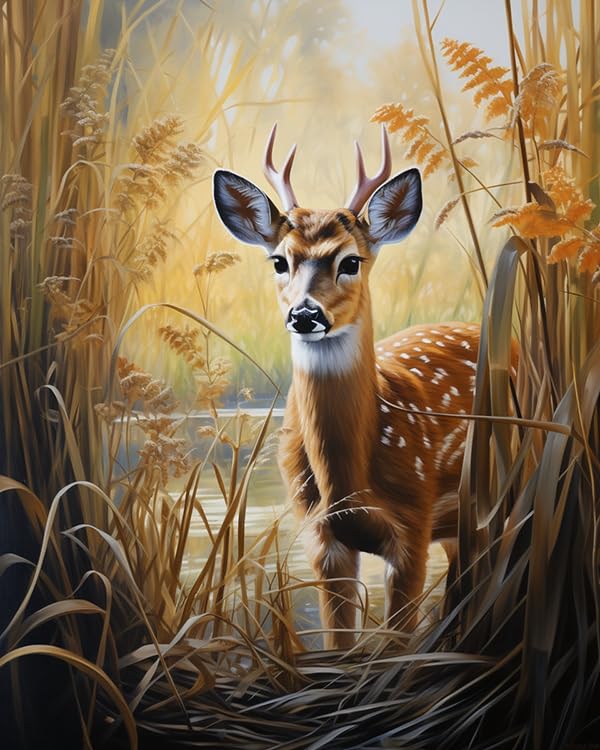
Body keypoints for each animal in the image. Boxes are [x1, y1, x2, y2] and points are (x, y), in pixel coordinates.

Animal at [213, 124, 483, 650]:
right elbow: (340, 646)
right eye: (279, 261)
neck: (349, 480)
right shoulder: (322, 539)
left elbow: (397, 646)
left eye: (351, 261)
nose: (305, 314)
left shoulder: (413, 527)